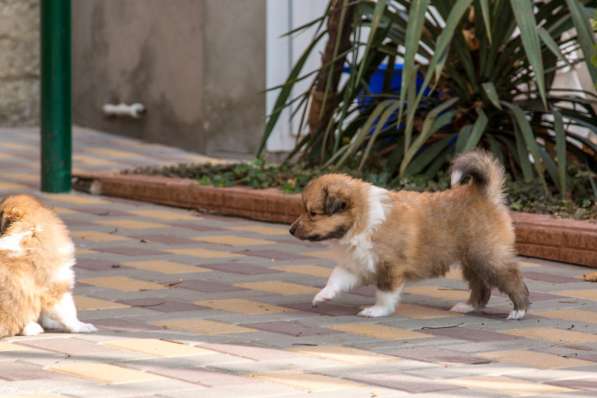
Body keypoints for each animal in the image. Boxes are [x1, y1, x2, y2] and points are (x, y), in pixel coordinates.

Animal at [292, 149, 528, 320]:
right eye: (303, 209)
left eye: (312, 213)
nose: (291, 230)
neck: (362, 219)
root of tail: (483, 194)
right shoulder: (358, 262)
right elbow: (336, 278)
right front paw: (322, 295)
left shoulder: (390, 266)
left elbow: (385, 293)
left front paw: (377, 311)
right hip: (471, 260)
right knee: (481, 286)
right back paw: (467, 306)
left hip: (487, 257)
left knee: (512, 278)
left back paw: (519, 310)